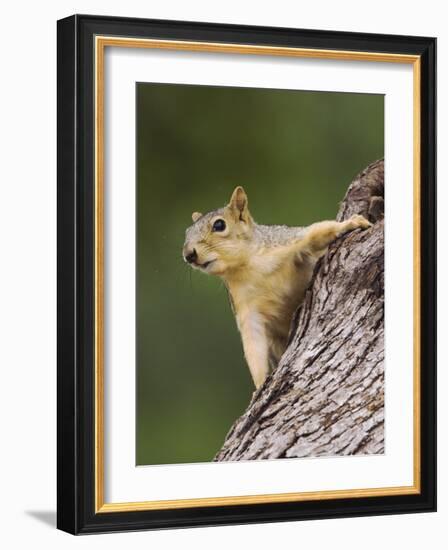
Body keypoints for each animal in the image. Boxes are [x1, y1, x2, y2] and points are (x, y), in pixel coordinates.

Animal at [182, 188, 372, 390]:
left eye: (219, 225)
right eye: (187, 232)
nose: (188, 255)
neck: (248, 267)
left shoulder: (287, 243)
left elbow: (317, 232)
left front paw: (352, 223)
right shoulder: (245, 308)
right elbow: (253, 344)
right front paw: (259, 385)